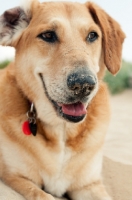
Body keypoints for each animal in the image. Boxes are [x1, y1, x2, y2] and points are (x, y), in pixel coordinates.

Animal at [0, 0, 125, 200]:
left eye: (92, 35)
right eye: (48, 35)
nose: (83, 84)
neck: (62, 130)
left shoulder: (89, 185)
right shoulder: (16, 177)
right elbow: (42, 195)